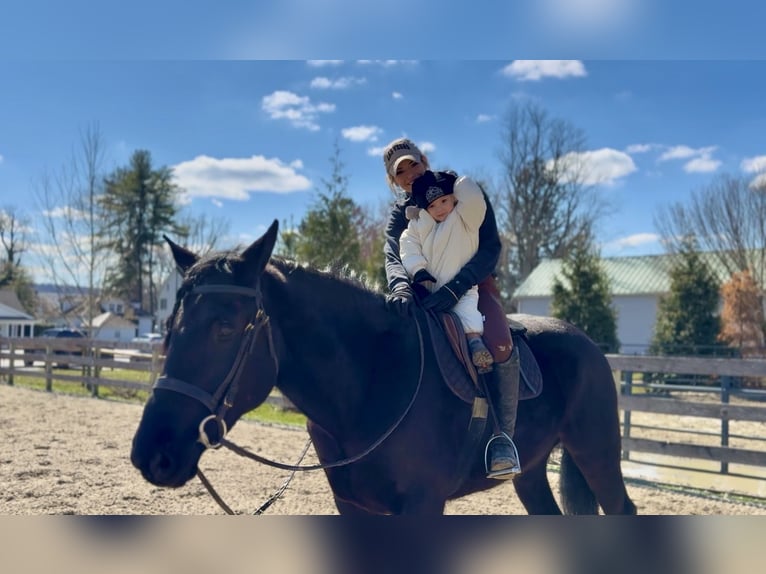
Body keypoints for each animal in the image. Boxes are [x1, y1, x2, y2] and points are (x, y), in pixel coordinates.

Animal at [130, 220, 636, 515]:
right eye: (169, 326)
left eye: (224, 328)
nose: (152, 453)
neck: (370, 380)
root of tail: (589, 345)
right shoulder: (354, 506)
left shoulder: (422, 508)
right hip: (530, 470)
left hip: (596, 454)